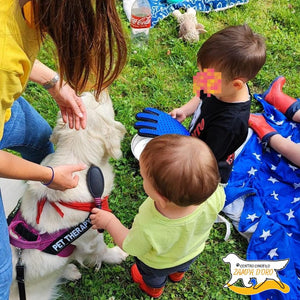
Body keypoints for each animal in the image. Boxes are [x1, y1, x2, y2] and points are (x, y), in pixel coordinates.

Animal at [7, 91, 126, 300]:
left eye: (81, 97)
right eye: (99, 102)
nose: (100, 91)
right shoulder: (92, 238)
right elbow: (102, 251)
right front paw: (118, 254)